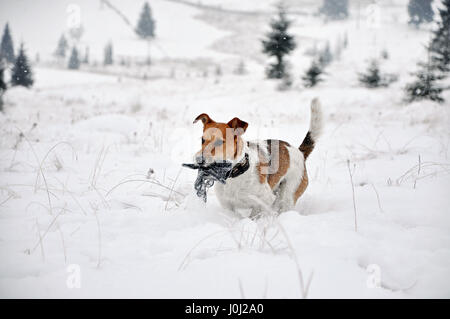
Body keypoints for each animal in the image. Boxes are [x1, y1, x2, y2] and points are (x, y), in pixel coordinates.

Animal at [193, 99, 324, 216]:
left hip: (288, 196)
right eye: (202, 140)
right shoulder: (227, 205)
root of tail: (299, 152)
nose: (199, 159)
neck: (235, 173)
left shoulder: (264, 200)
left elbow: (255, 215)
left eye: (220, 142)